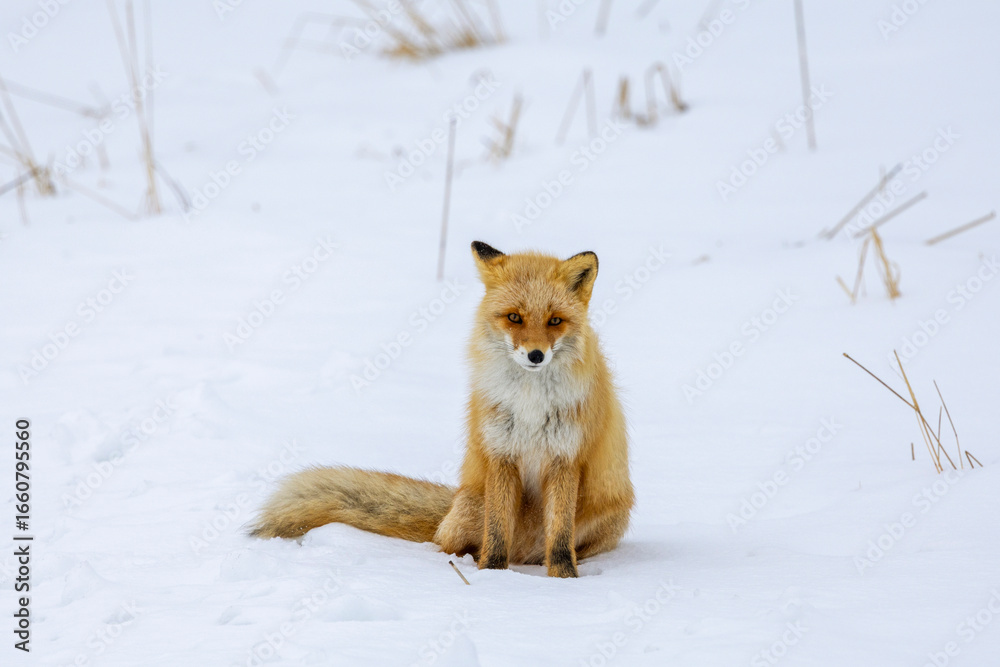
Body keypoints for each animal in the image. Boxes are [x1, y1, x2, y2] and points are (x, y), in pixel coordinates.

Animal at [250, 241, 634, 578]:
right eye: (514, 317)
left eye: (555, 321)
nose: (536, 355)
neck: (530, 403)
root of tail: (526, 551)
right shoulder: (500, 453)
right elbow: (497, 533)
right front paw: (492, 576)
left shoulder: (564, 459)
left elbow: (560, 539)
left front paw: (564, 581)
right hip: (469, 509)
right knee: (448, 542)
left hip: (609, 519)